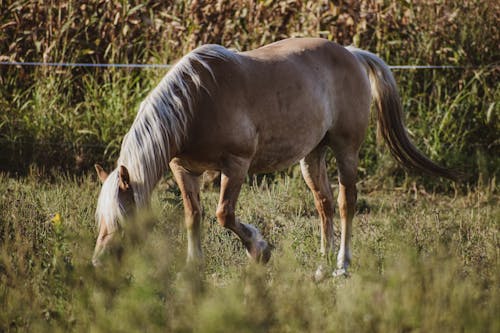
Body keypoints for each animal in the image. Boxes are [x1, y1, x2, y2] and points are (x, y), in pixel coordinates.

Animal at [92, 37, 458, 278]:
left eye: (122, 220)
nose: (98, 262)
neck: (195, 102)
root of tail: (352, 54)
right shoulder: (184, 170)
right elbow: (193, 216)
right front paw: (193, 268)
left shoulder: (236, 165)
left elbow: (224, 214)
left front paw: (261, 250)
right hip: (312, 156)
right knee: (324, 204)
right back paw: (322, 264)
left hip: (346, 150)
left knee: (345, 203)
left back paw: (342, 265)